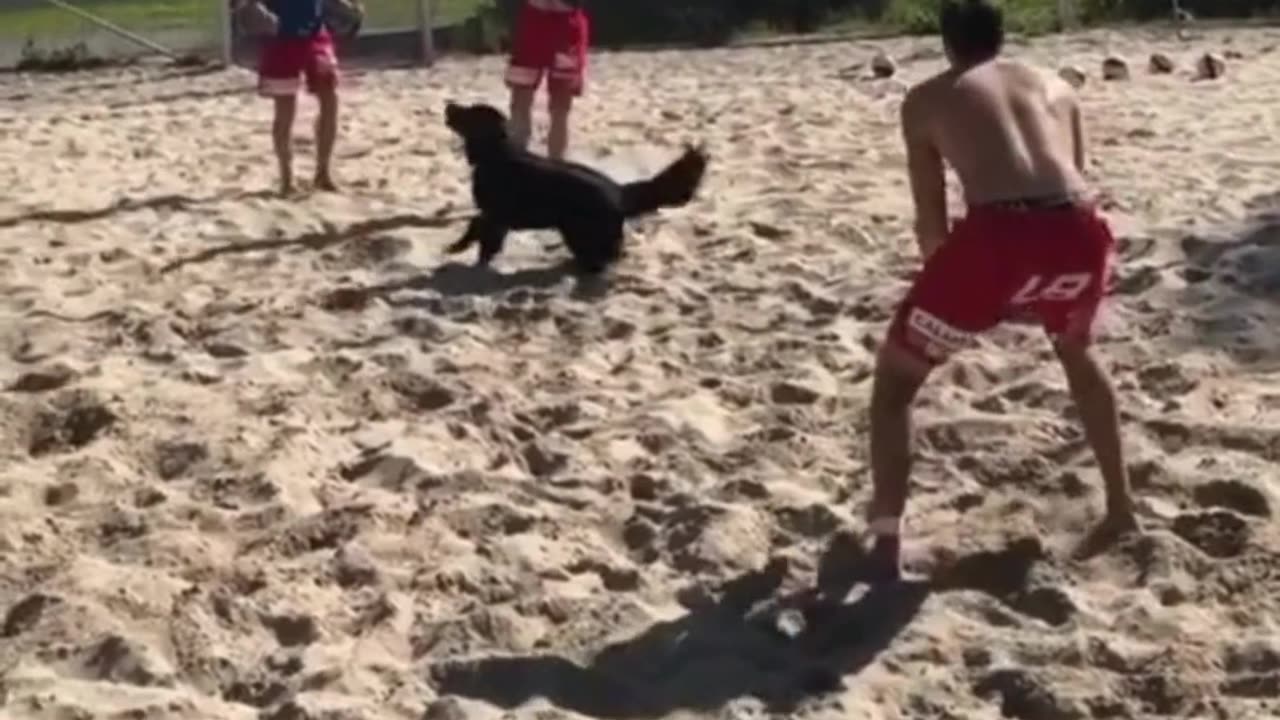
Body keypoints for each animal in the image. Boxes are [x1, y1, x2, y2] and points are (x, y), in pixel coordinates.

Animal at [445, 102, 711, 275]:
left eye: (469, 112)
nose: (449, 104)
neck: (496, 154)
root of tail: (619, 192)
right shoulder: (497, 217)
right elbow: (481, 233)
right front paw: (466, 251)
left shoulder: (495, 214)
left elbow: (480, 232)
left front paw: (466, 255)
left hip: (579, 233)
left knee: (604, 257)